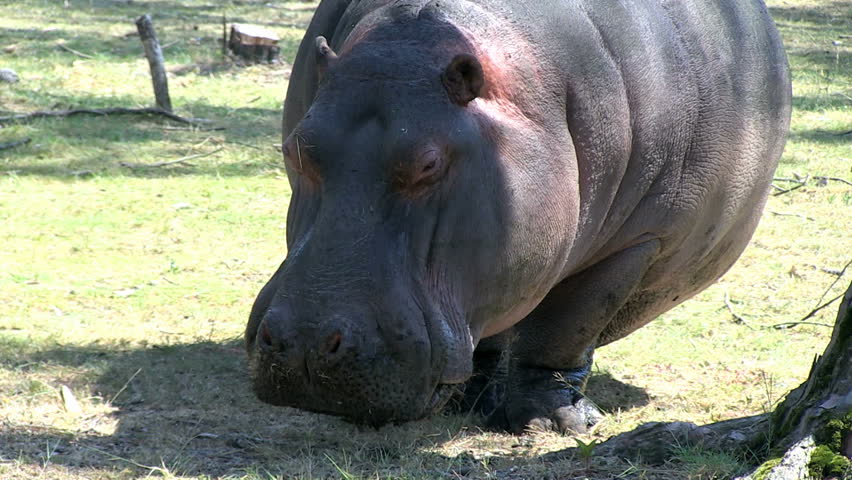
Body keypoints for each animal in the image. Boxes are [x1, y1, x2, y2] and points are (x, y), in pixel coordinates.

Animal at [246, 0, 791, 433]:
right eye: (295, 147)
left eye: (429, 163)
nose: (306, 343)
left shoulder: (636, 241)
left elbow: (565, 327)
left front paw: (556, 425)